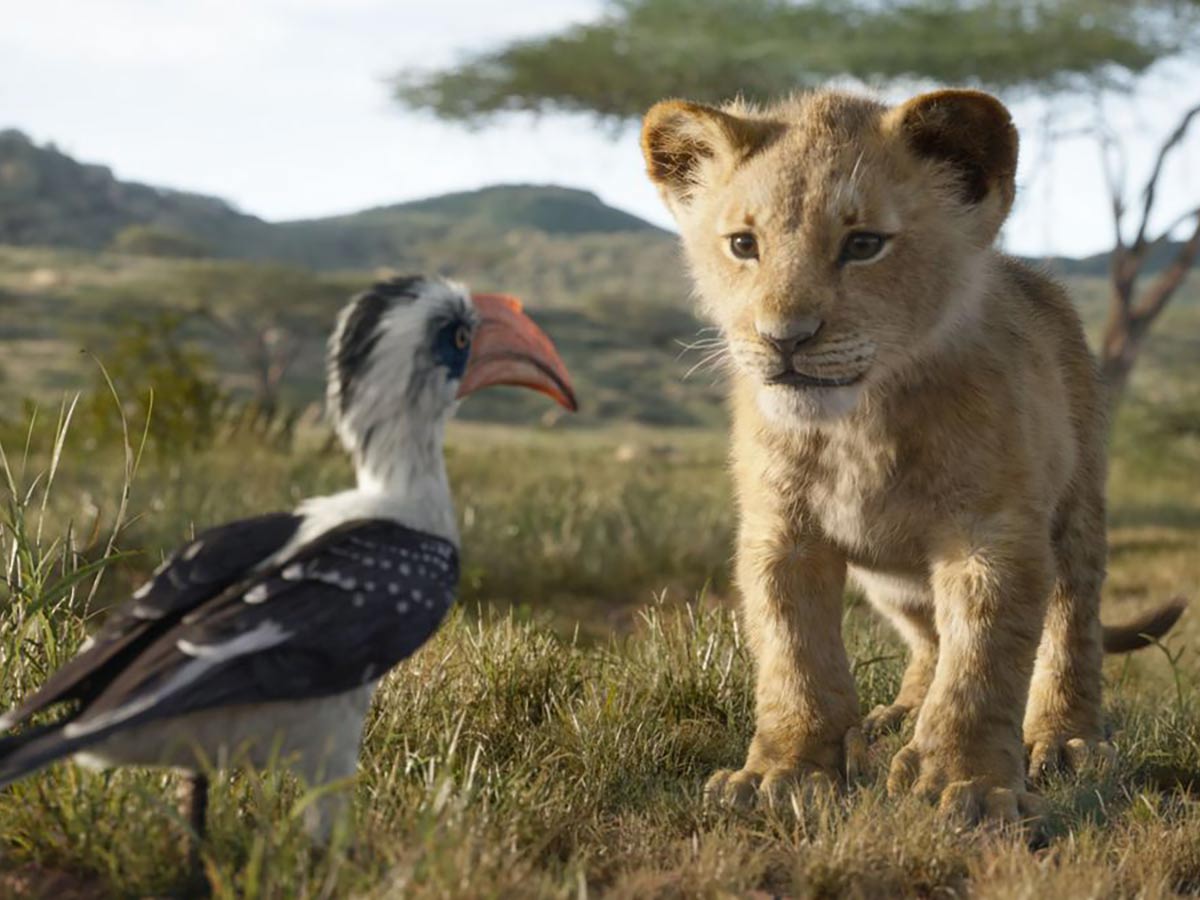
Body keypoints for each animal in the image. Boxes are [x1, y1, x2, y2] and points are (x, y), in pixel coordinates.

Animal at [640, 88, 1185, 823]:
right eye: (743, 245)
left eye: (864, 244)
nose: (784, 338)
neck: (859, 425)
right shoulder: (781, 534)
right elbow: (794, 654)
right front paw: (783, 773)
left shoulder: (991, 534)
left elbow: (982, 663)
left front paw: (967, 784)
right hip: (892, 581)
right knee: (929, 638)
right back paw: (895, 716)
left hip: (1077, 508)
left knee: (1072, 623)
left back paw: (1065, 740)